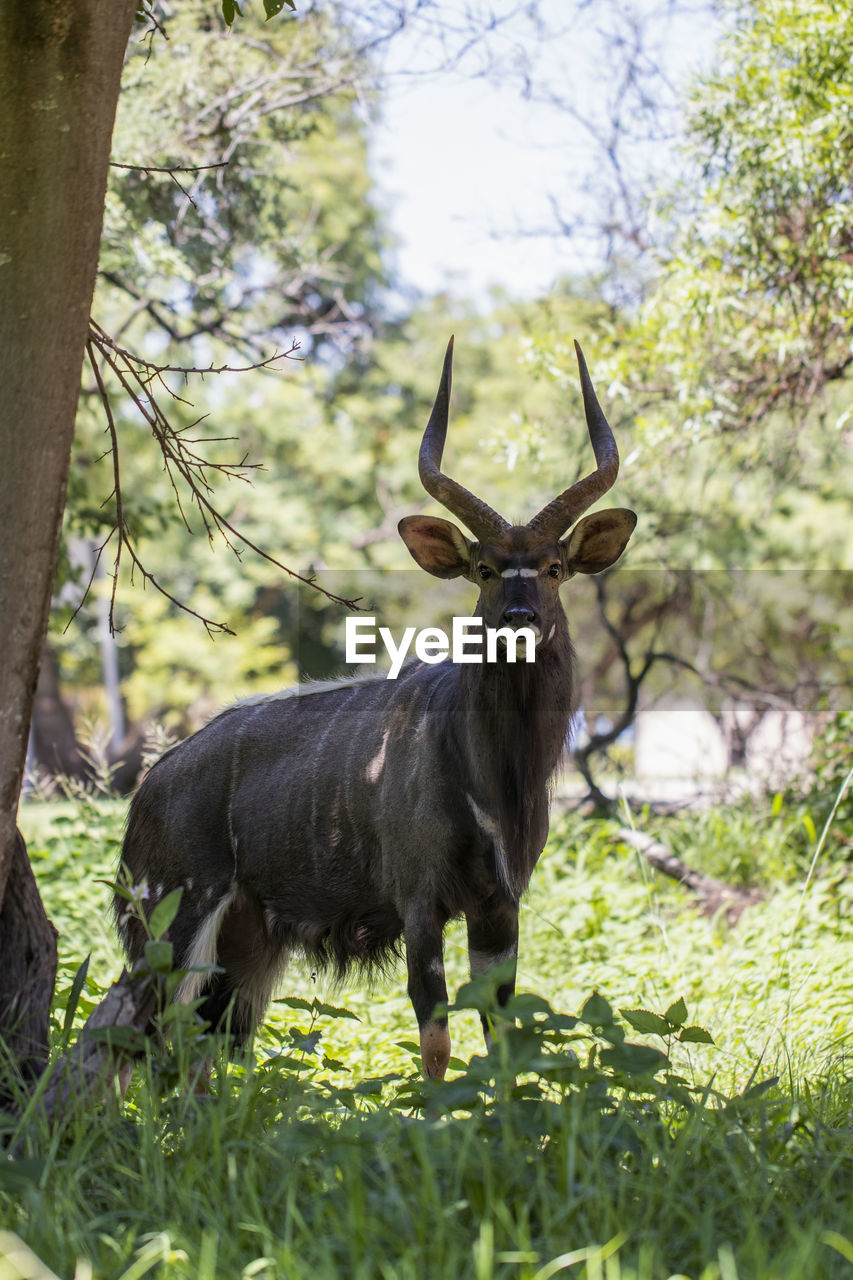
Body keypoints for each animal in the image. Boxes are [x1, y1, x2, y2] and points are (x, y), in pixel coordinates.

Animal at [116, 340, 635, 1080]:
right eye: (483, 569)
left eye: (555, 567)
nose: (518, 618)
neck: (492, 775)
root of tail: (146, 790)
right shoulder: (418, 900)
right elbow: (435, 1036)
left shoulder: (499, 906)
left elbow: (501, 1033)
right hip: (172, 921)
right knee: (149, 1046)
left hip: (246, 945)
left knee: (205, 1052)